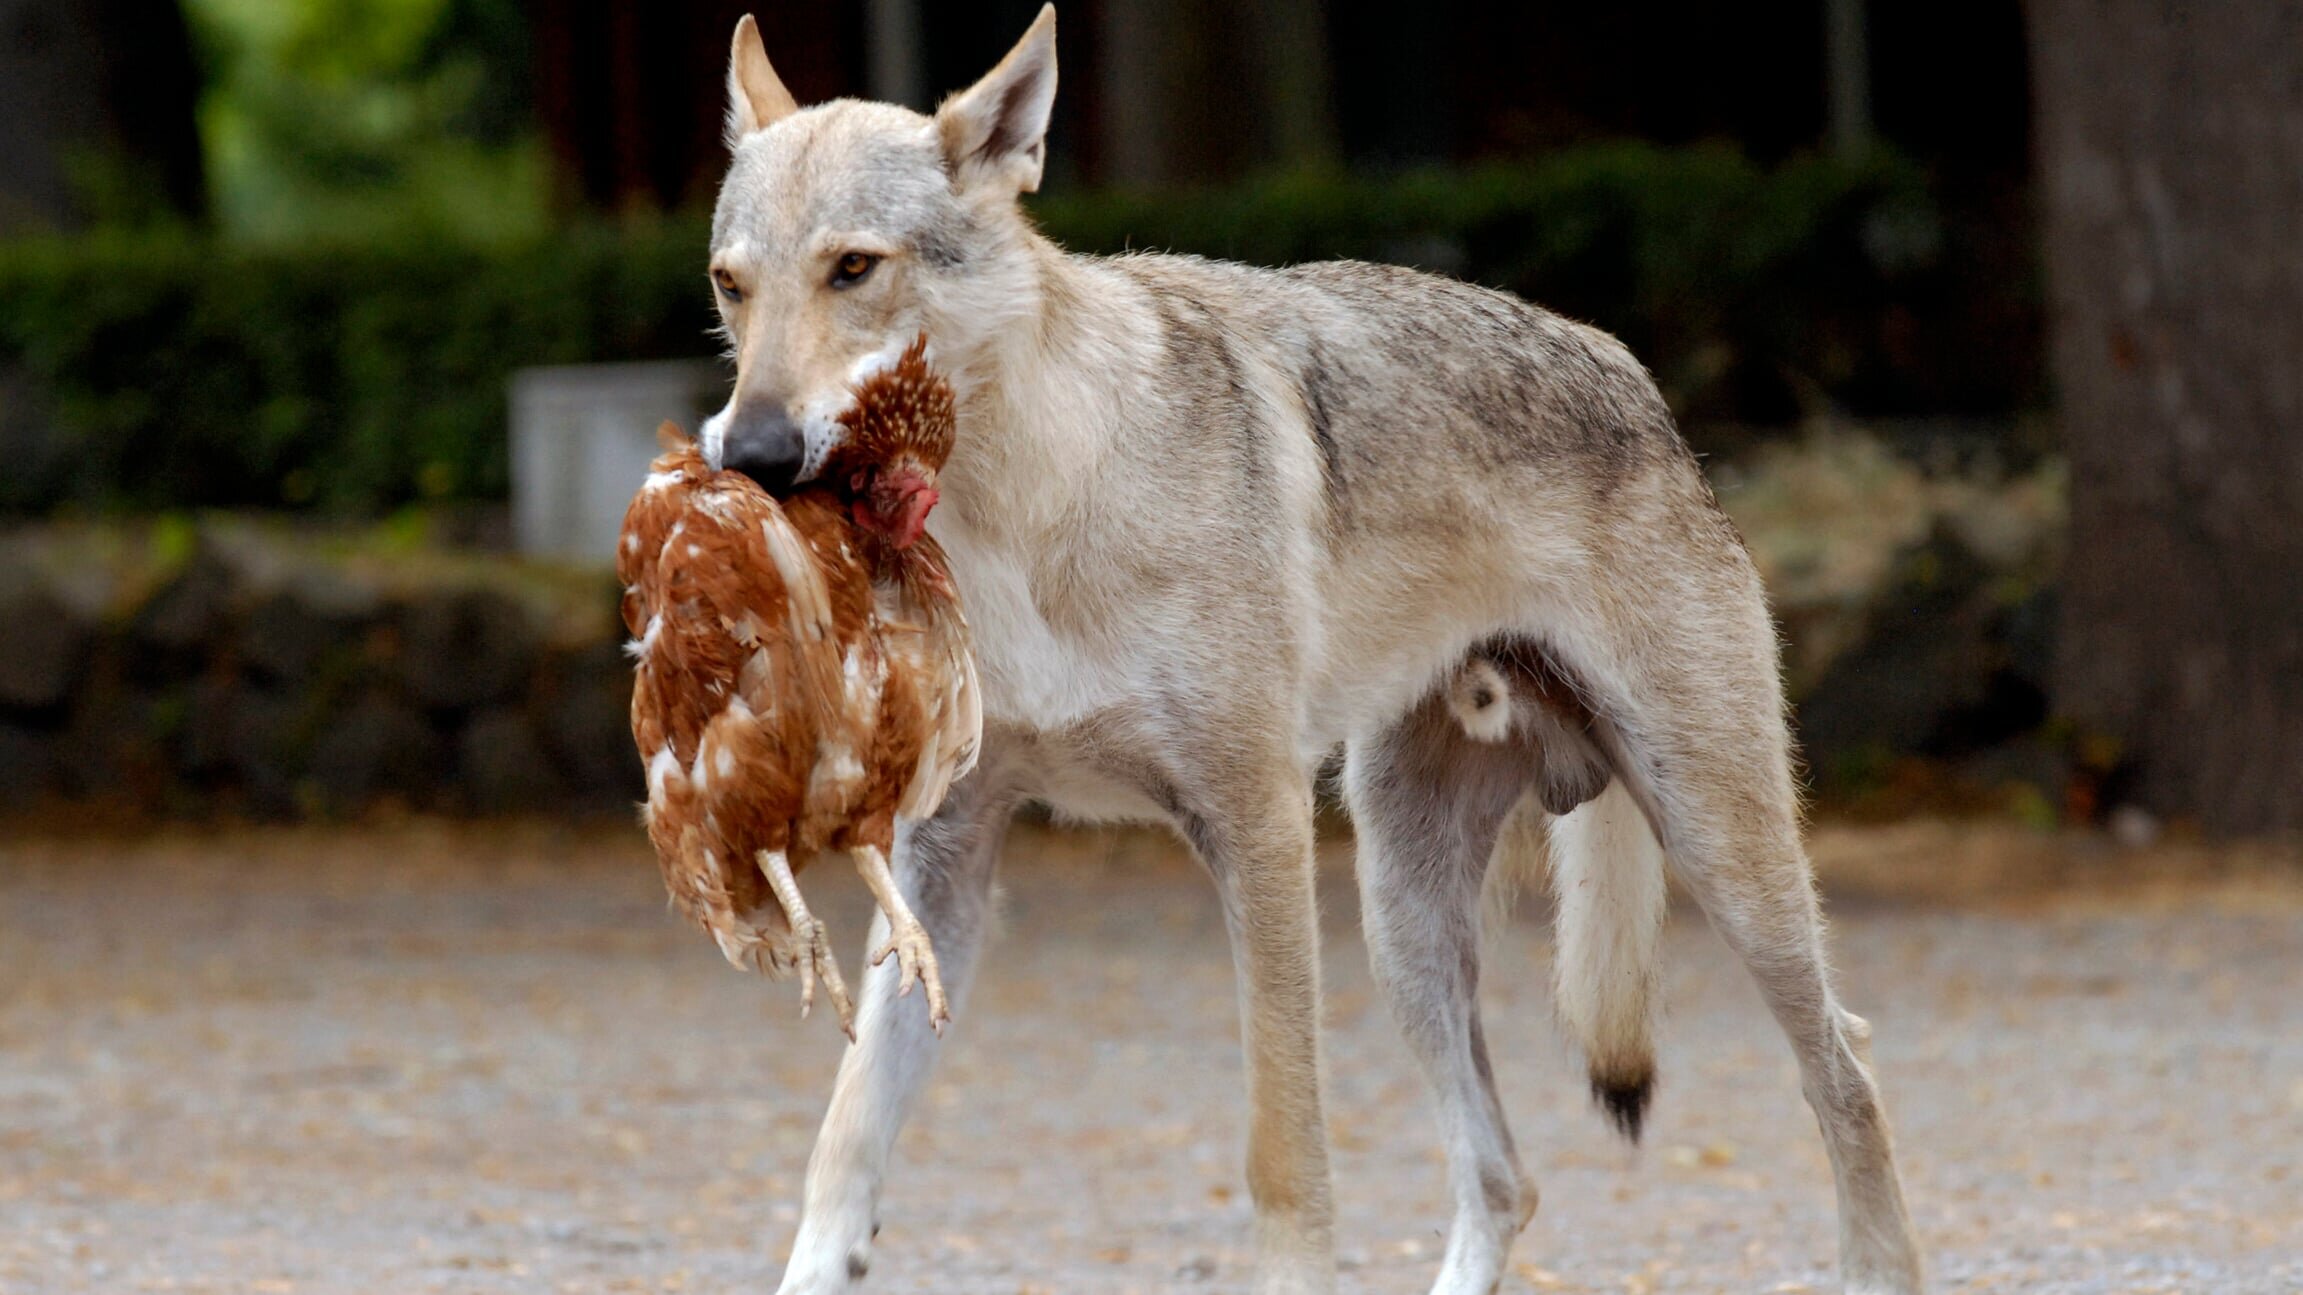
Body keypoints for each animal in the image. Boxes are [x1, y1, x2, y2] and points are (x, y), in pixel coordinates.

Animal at [695, 10, 1925, 1290]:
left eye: (853, 268)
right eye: (731, 285)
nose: (751, 453)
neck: (1022, 509)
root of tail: (1636, 379)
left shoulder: (1257, 829)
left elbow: (1283, 1158)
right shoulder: (936, 857)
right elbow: (841, 1150)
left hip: (1718, 862)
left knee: (1844, 1067)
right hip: (1403, 921)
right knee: (1504, 1177)